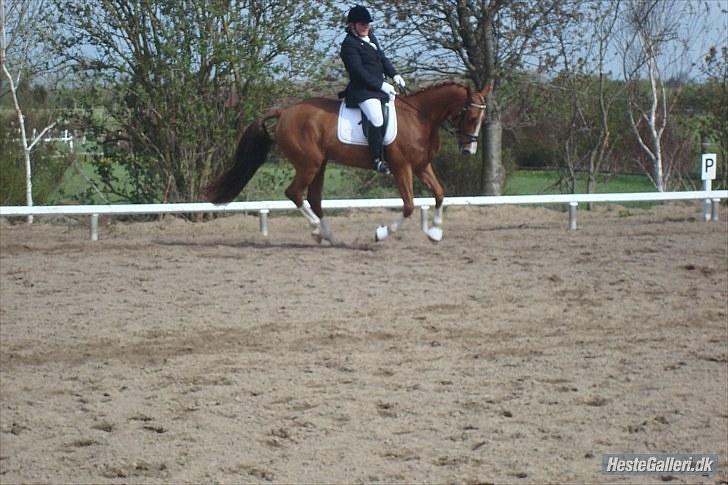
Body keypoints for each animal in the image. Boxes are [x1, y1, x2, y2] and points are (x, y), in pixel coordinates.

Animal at [206, 82, 494, 244]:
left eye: (481, 118)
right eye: (470, 116)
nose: (468, 150)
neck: (421, 118)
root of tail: (285, 111)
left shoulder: (422, 167)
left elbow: (440, 194)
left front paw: (435, 233)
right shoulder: (402, 167)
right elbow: (409, 206)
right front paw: (381, 233)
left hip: (320, 164)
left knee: (314, 199)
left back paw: (328, 235)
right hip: (309, 164)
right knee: (295, 193)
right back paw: (317, 231)